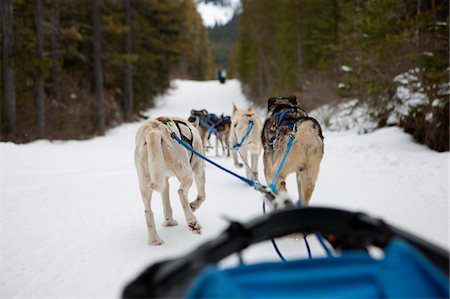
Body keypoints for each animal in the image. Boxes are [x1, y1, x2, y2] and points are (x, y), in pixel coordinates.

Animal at [133, 116, 205, 245]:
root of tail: (153, 130)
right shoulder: (198, 168)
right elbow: (202, 196)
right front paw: (193, 206)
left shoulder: (164, 180)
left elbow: (166, 203)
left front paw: (169, 222)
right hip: (186, 173)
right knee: (181, 192)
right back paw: (192, 222)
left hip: (145, 182)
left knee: (148, 211)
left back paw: (154, 240)